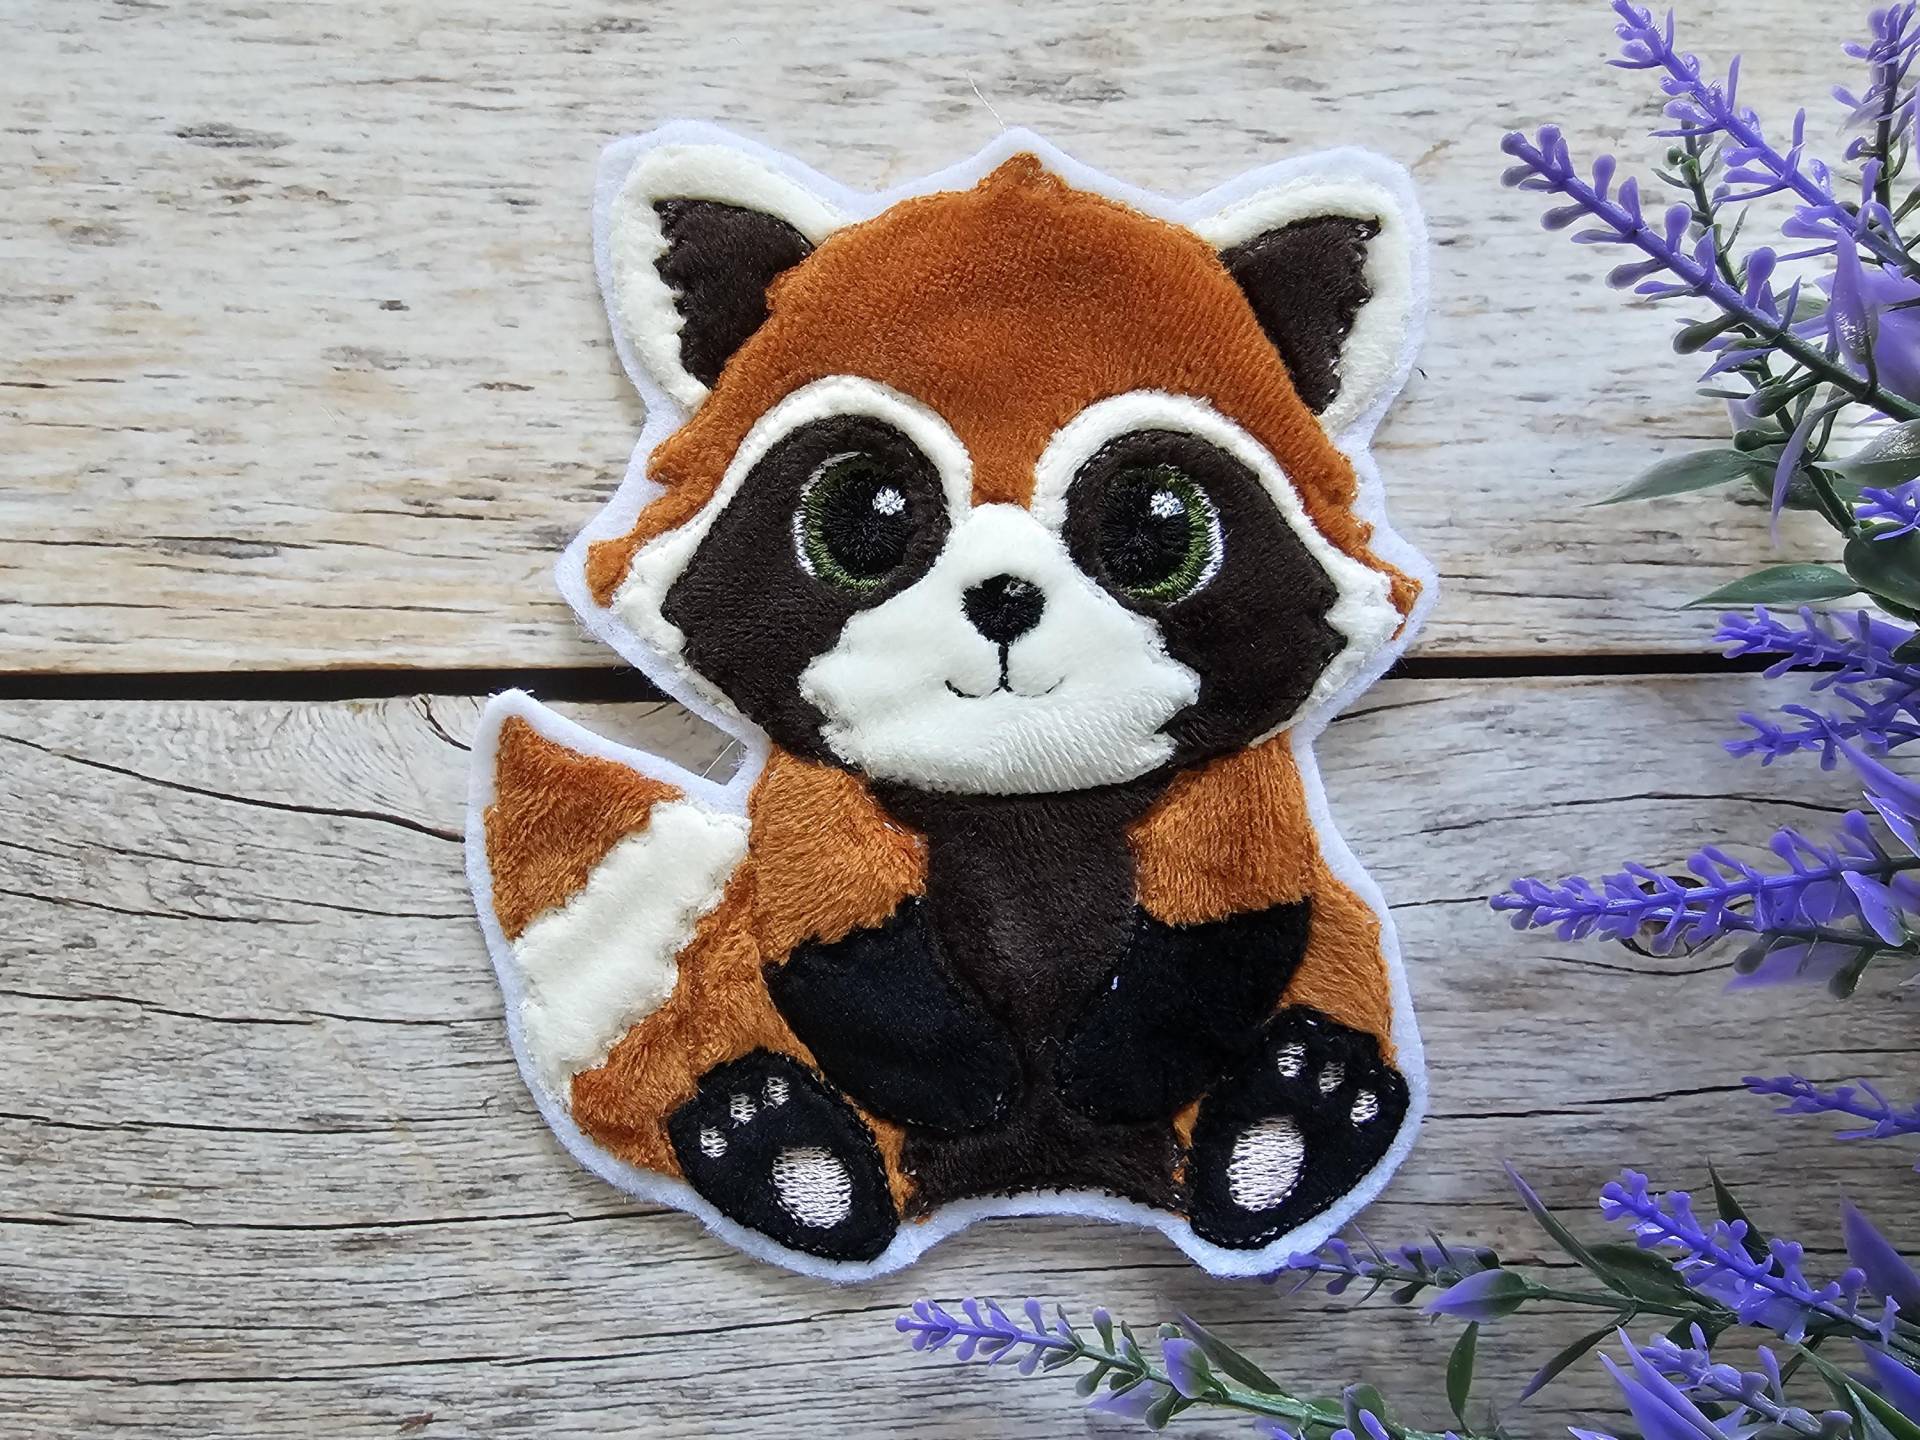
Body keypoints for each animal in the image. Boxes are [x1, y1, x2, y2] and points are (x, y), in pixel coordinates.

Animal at [468, 124, 1434, 1280]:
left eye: (1160, 526)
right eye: (862, 517)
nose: (1006, 592)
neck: (1015, 806)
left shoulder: (1241, 796)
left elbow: (1228, 919)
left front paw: (1116, 1066)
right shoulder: (811, 811)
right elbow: (839, 934)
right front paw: (956, 1076)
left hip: (1346, 964)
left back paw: (1293, 1122)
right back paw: (785, 1146)